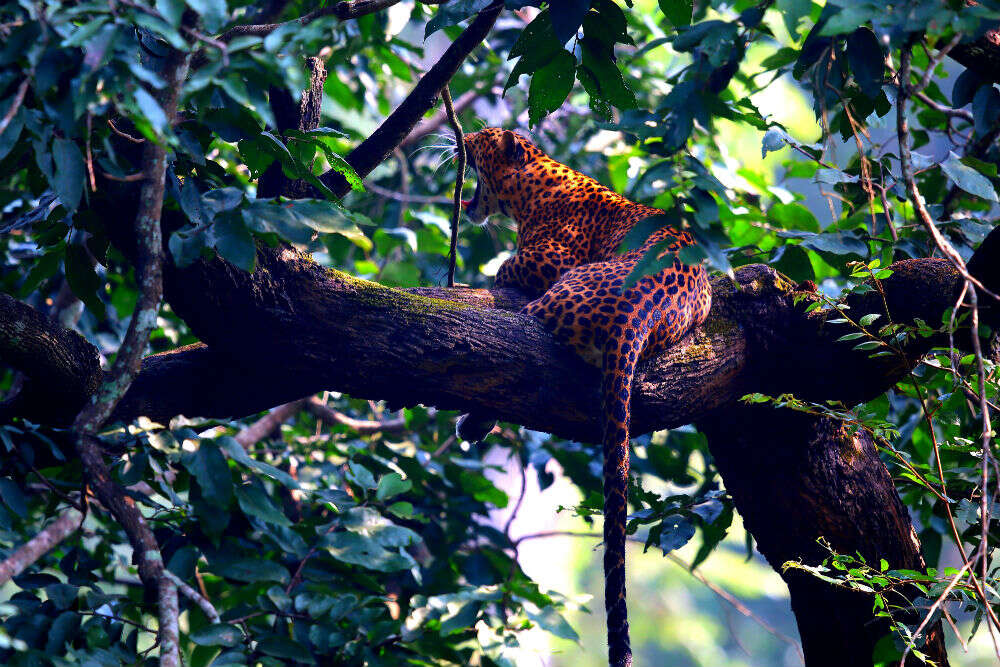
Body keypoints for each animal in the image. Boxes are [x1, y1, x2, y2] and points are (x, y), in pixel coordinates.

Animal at [461, 128, 712, 667]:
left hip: (553, 298)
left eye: (483, 139)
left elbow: (504, 269)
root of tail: (635, 312)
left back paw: (473, 422)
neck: (533, 181)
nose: (463, 134)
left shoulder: (547, 258)